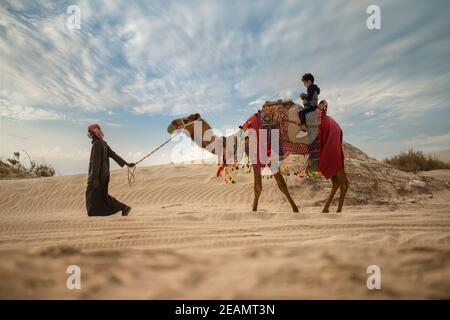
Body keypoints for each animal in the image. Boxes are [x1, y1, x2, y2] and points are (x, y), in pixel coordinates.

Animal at [167, 110, 350, 215]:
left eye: (189, 118)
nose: (172, 123)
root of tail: (339, 127)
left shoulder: (264, 157)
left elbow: (265, 187)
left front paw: (256, 211)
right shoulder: (263, 159)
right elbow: (270, 186)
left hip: (330, 148)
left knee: (342, 181)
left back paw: (336, 210)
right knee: (337, 180)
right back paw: (328, 209)